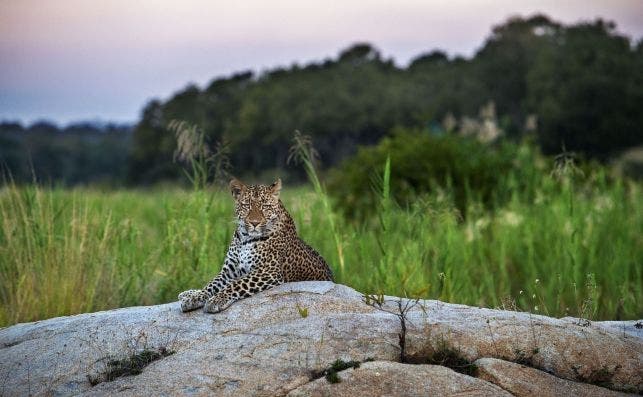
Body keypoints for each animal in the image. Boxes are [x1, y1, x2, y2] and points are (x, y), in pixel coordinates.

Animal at [179, 177, 334, 312]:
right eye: (246, 205)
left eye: (265, 206)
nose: (254, 223)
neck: (245, 238)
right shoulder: (229, 271)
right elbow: (211, 285)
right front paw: (195, 298)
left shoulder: (267, 271)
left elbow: (236, 284)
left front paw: (217, 300)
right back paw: (187, 293)